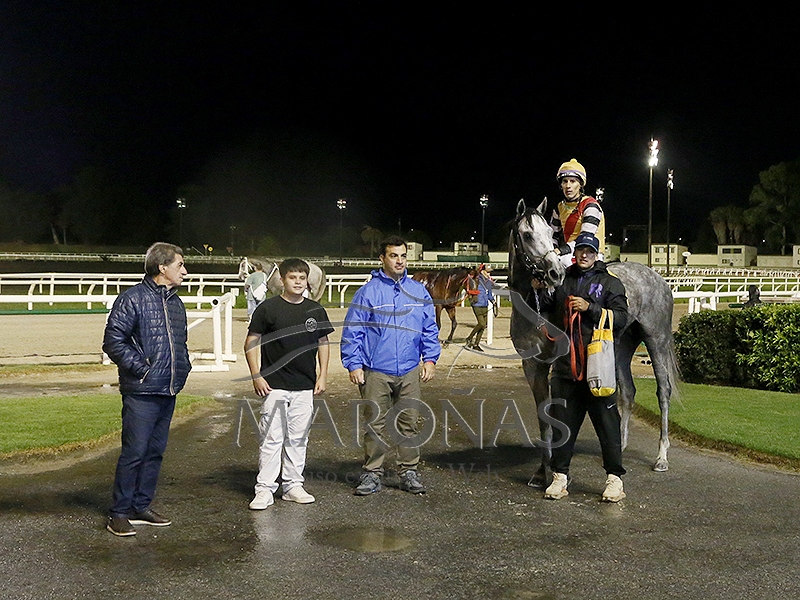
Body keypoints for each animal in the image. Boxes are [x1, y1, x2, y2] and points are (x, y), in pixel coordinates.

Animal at [508, 198, 679, 487]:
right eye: (528, 235)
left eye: (550, 233)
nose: (554, 273)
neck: (537, 306)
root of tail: (657, 278)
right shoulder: (532, 365)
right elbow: (543, 415)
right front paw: (541, 471)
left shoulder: (562, 363)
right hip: (621, 345)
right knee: (628, 391)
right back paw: (619, 447)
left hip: (655, 338)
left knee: (663, 390)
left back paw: (662, 457)